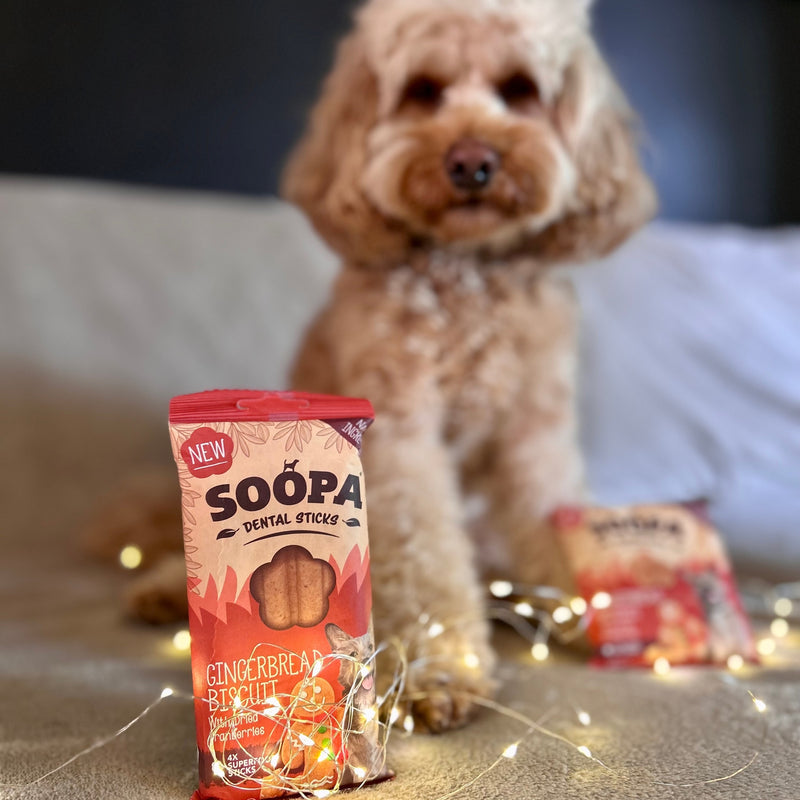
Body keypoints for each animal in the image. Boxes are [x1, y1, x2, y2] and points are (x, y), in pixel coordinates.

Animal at [84, 0, 652, 736]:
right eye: (424, 90)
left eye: (520, 88)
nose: (472, 160)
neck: (464, 277)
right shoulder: (402, 435)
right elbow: (424, 554)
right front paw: (438, 670)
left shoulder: (535, 431)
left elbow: (549, 515)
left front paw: (588, 609)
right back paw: (157, 589)